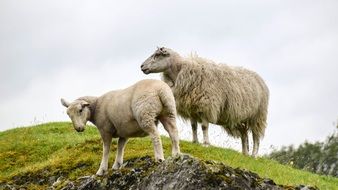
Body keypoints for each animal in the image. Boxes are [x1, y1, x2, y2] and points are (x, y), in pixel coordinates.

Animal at [141, 46, 270, 157]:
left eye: (157, 55)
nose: (142, 66)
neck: (180, 72)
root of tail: (260, 79)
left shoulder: (205, 106)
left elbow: (204, 127)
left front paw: (206, 143)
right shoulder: (192, 108)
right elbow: (193, 127)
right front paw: (195, 141)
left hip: (258, 116)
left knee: (256, 136)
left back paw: (254, 155)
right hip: (240, 118)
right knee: (244, 134)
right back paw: (244, 154)